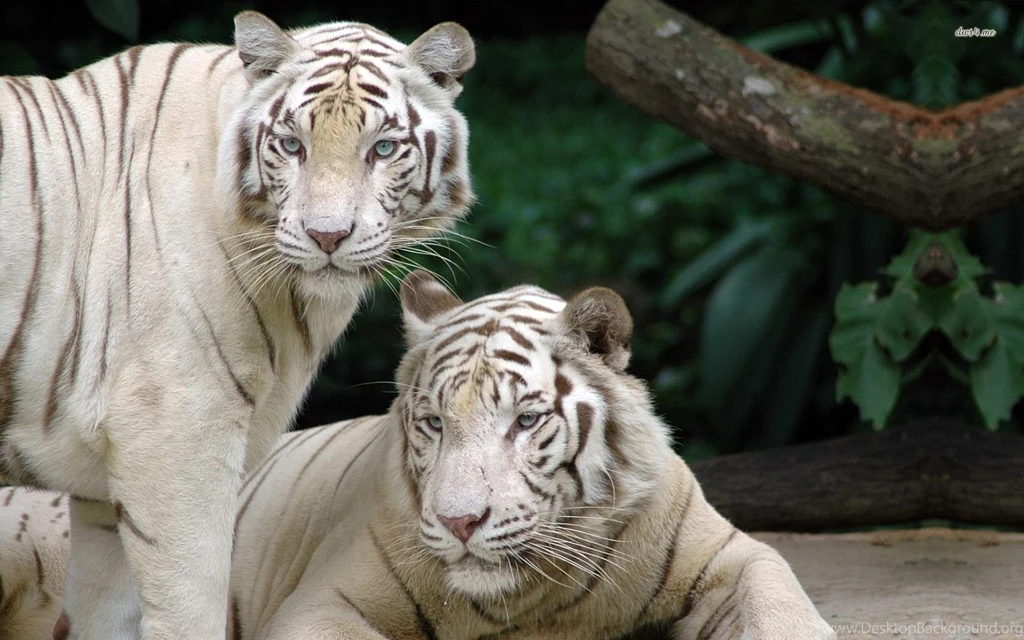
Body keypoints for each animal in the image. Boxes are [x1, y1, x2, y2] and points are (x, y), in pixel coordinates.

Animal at [0, 10, 474, 640]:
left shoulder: (103, 490)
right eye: (293, 145)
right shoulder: (175, 436)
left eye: (383, 148)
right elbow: (191, 606)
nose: (328, 236)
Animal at [1, 271, 835, 639]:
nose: (461, 523)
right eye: (432, 422)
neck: (540, 601)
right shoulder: (323, 604)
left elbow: (780, 600)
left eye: (526, 419)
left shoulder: (731, 556)